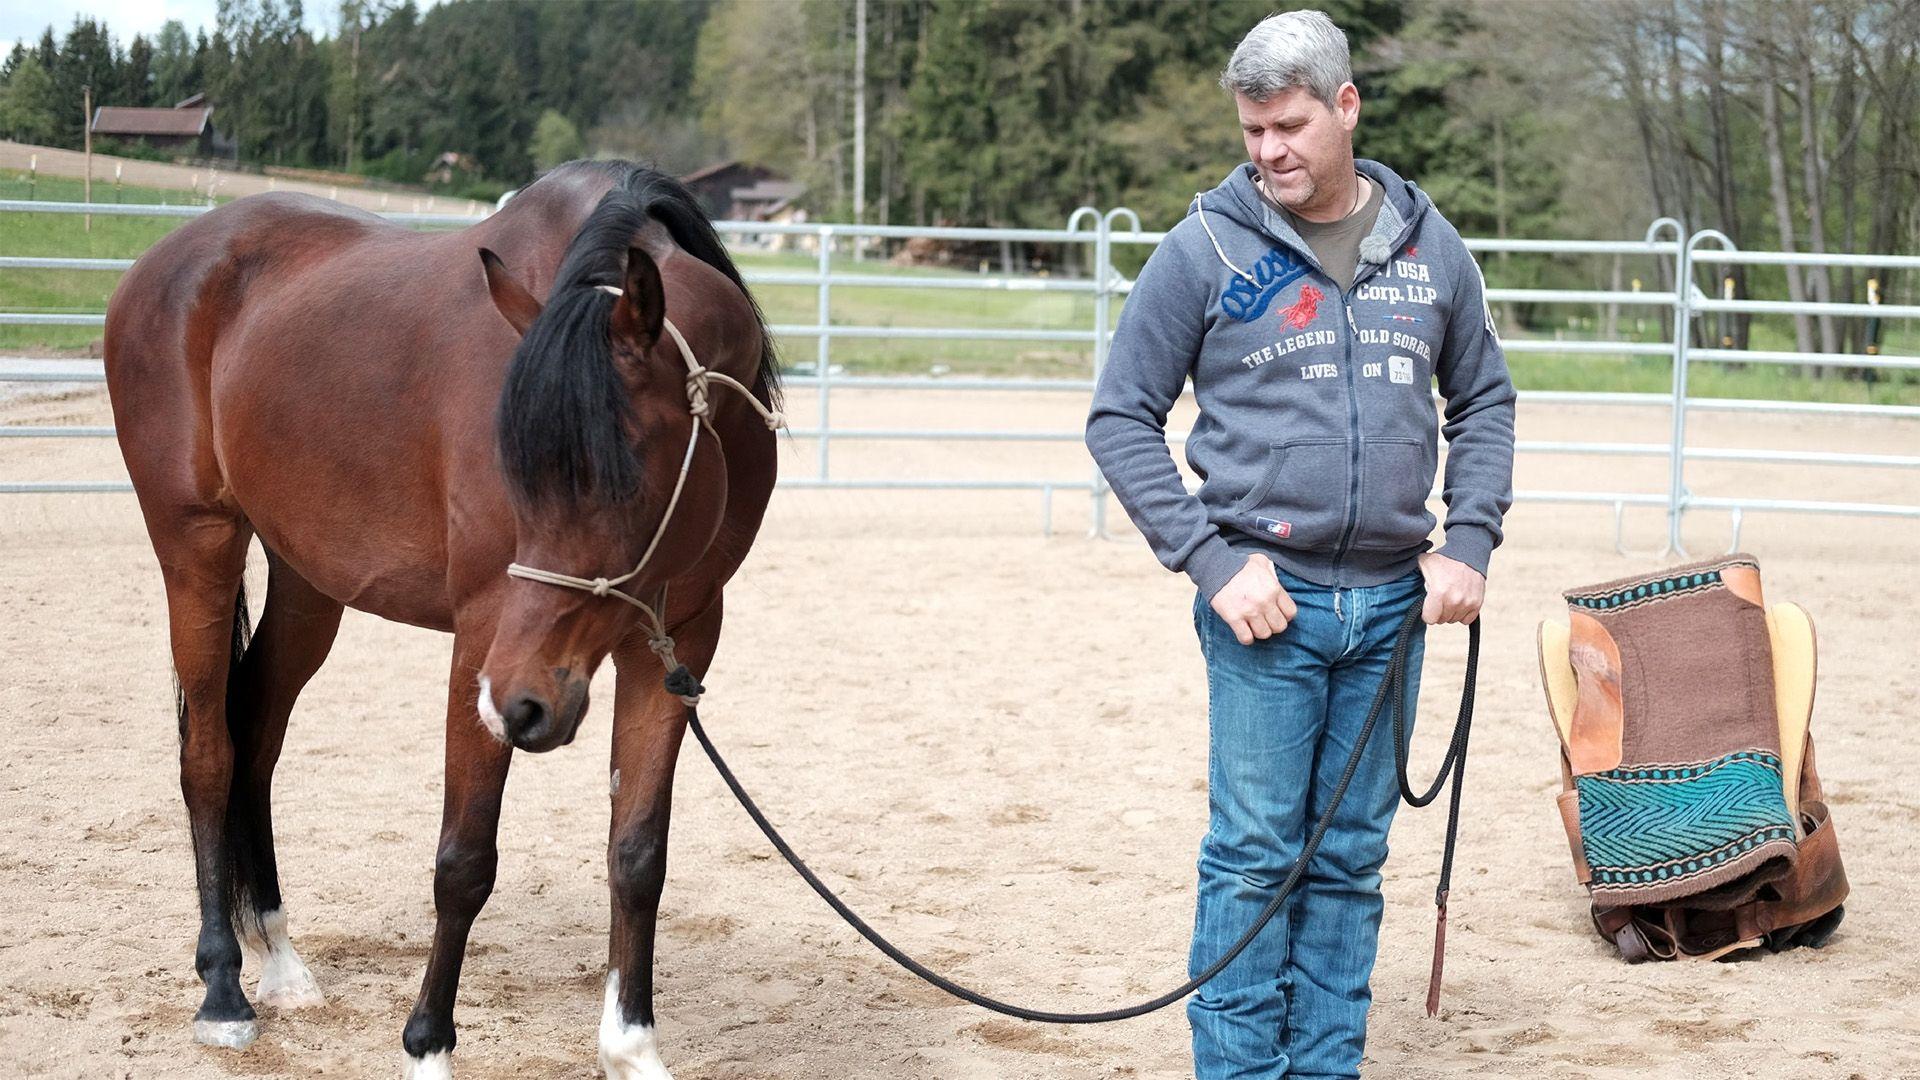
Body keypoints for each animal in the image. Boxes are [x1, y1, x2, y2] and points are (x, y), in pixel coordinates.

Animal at [102, 159, 782, 1078]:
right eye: (516, 470)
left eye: (625, 477)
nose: (528, 703)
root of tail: (159, 265)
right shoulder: (484, 645)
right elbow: (464, 859)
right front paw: (426, 1047)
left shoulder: (674, 645)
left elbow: (638, 853)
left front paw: (632, 1047)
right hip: (196, 546)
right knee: (208, 752)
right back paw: (223, 990)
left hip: (309, 582)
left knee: (257, 737)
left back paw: (279, 959)